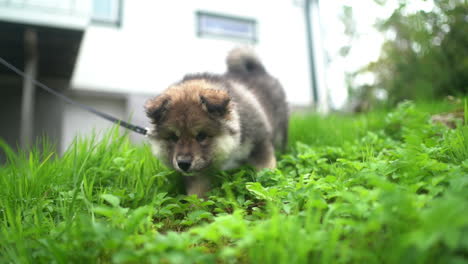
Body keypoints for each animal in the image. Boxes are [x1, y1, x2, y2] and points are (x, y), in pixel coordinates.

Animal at [145, 47, 288, 196]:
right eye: (173, 137)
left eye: (201, 136)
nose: (183, 163)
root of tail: (258, 70)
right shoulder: (198, 172)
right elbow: (197, 192)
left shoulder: (259, 144)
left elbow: (266, 171)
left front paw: (268, 189)